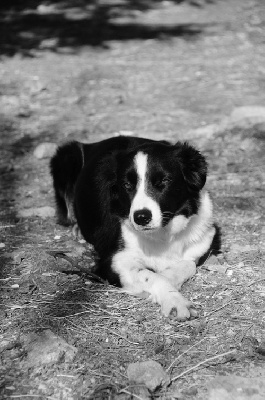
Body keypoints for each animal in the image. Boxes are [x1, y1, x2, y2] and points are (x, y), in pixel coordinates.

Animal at [50, 138, 217, 322]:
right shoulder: (115, 261)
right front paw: (175, 301)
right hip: (67, 156)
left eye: (163, 181)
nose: (141, 217)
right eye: (127, 185)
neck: (162, 234)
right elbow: (151, 276)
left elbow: (187, 266)